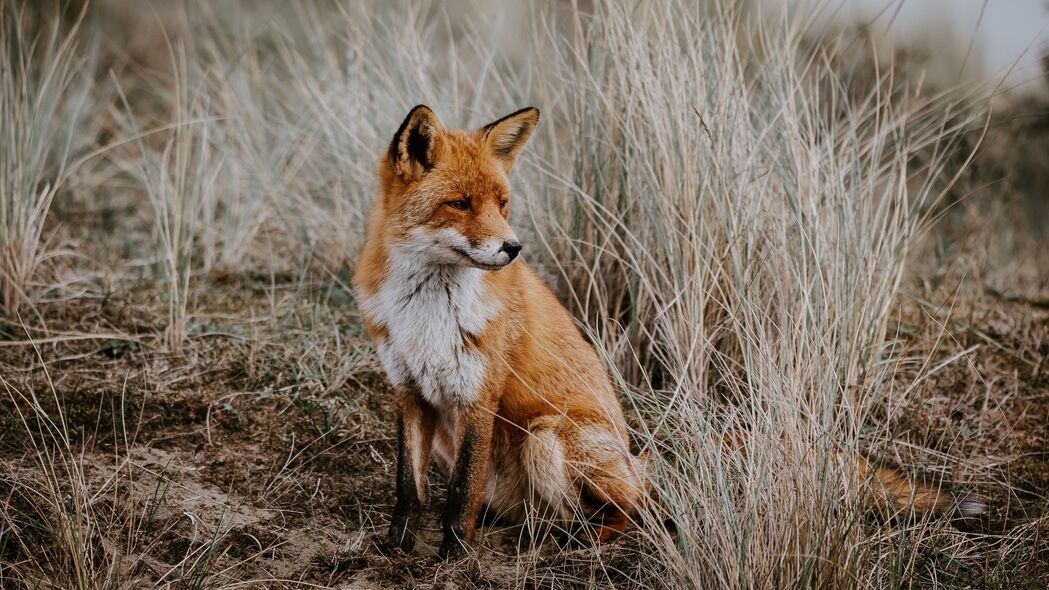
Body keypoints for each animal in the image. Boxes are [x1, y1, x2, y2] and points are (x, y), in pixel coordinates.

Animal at [356, 104, 986, 554]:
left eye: (503, 203)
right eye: (460, 204)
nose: (513, 248)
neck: (426, 311)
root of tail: (637, 456)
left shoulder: (478, 395)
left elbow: (460, 493)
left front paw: (453, 557)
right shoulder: (409, 390)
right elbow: (409, 488)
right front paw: (395, 548)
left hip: (548, 436)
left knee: (641, 513)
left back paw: (582, 542)